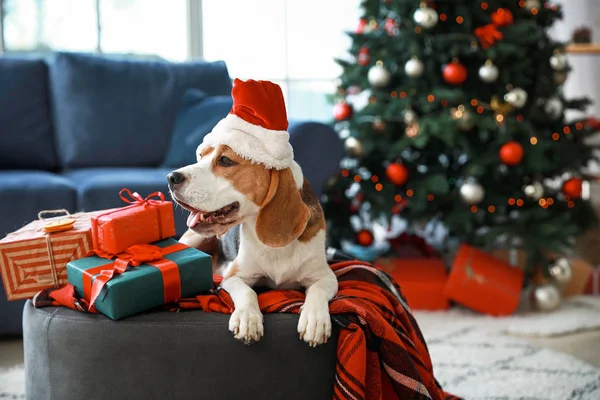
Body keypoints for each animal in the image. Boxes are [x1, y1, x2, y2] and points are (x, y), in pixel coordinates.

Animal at [169, 145, 338, 346]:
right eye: (201, 156)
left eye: (225, 160)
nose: (171, 177)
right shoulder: (234, 277)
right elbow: (248, 292)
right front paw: (247, 319)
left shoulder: (327, 277)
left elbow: (318, 290)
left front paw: (315, 320)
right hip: (194, 239)